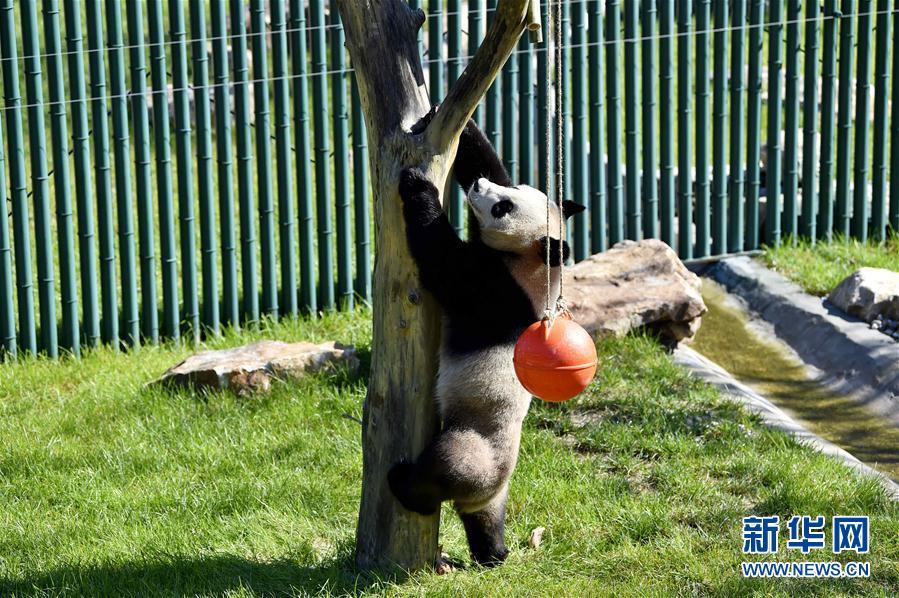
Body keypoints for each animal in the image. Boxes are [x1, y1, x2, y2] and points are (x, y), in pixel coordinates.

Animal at [390, 119, 588, 568]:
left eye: (504, 207)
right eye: (514, 190)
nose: (480, 187)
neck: (531, 263)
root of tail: (488, 490)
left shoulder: (496, 290)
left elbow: (443, 262)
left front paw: (418, 187)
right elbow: (485, 157)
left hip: (474, 443)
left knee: (444, 467)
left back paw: (405, 484)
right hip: (492, 493)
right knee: (484, 521)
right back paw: (493, 551)